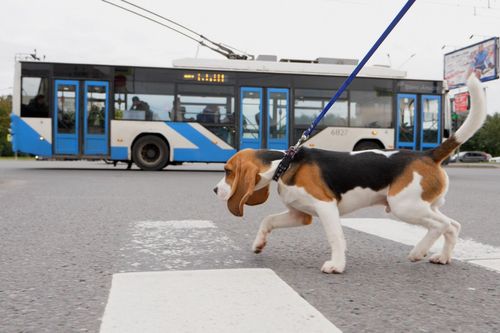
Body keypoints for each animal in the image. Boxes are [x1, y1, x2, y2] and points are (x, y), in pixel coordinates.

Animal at [214, 75, 484, 272]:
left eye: (228, 171)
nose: (215, 190)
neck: (285, 163)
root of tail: (427, 154)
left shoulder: (326, 207)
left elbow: (336, 237)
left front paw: (337, 265)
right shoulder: (300, 214)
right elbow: (267, 220)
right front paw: (258, 244)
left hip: (404, 206)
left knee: (442, 225)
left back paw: (418, 251)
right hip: (422, 205)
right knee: (453, 225)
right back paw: (443, 257)